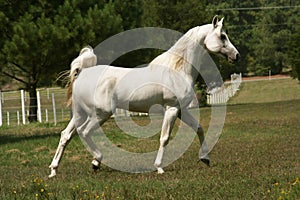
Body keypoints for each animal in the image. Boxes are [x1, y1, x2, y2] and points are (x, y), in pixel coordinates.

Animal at [48, 16, 239, 178]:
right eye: (222, 36)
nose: (236, 56)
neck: (177, 69)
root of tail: (83, 73)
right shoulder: (171, 109)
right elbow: (164, 138)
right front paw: (159, 167)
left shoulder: (181, 110)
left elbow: (198, 128)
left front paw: (205, 158)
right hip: (101, 113)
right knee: (84, 132)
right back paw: (96, 162)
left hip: (80, 114)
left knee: (66, 135)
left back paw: (54, 170)